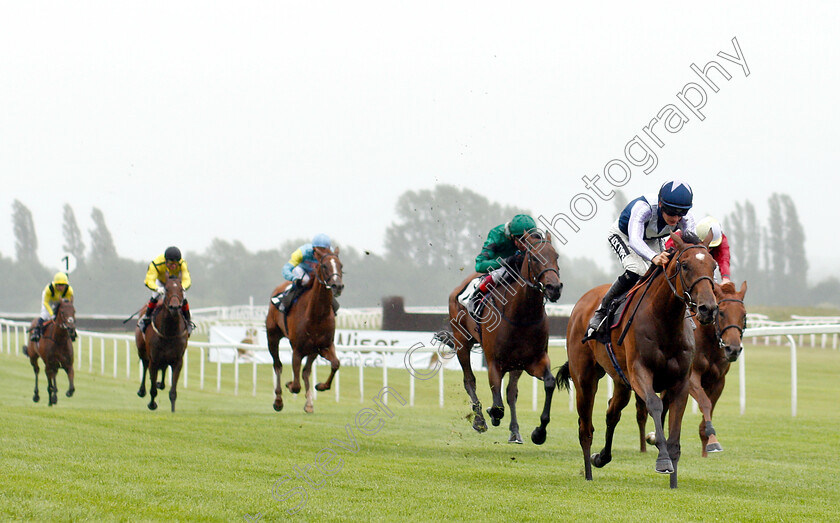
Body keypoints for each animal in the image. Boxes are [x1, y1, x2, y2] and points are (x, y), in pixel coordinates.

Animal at [135, 274, 189, 414]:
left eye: (181, 289)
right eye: (167, 289)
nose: (174, 307)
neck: (169, 332)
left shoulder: (178, 361)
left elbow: (173, 391)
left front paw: (173, 410)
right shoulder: (153, 360)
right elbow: (153, 389)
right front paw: (152, 404)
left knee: (163, 368)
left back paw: (161, 384)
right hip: (142, 351)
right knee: (144, 366)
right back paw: (142, 390)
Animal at [262, 248, 342, 416]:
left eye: (341, 265)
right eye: (324, 266)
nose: (337, 286)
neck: (316, 314)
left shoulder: (324, 346)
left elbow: (335, 364)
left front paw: (321, 386)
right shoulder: (297, 349)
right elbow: (296, 384)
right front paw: (290, 384)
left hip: (312, 350)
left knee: (306, 371)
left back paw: (309, 403)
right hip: (272, 337)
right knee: (277, 365)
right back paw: (278, 401)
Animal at [436, 233, 560, 446]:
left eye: (556, 256)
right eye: (534, 258)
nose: (554, 288)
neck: (521, 315)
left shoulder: (534, 360)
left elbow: (549, 383)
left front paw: (539, 432)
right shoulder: (494, 362)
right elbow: (497, 404)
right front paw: (491, 413)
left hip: (516, 363)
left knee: (511, 392)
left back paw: (515, 432)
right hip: (462, 342)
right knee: (469, 380)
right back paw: (479, 420)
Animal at [556, 231, 716, 490]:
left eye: (713, 265)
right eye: (685, 265)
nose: (708, 309)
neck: (664, 321)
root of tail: (582, 302)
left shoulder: (680, 382)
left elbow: (674, 432)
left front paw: (673, 480)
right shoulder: (640, 372)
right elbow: (655, 405)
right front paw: (662, 460)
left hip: (621, 380)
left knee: (612, 412)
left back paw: (601, 457)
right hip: (585, 378)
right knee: (585, 428)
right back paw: (588, 472)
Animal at [636, 280, 748, 456]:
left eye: (743, 315)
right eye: (722, 313)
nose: (734, 349)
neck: (709, 342)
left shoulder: (718, 381)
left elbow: (709, 405)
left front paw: (706, 449)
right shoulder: (692, 376)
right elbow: (705, 402)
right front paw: (713, 439)